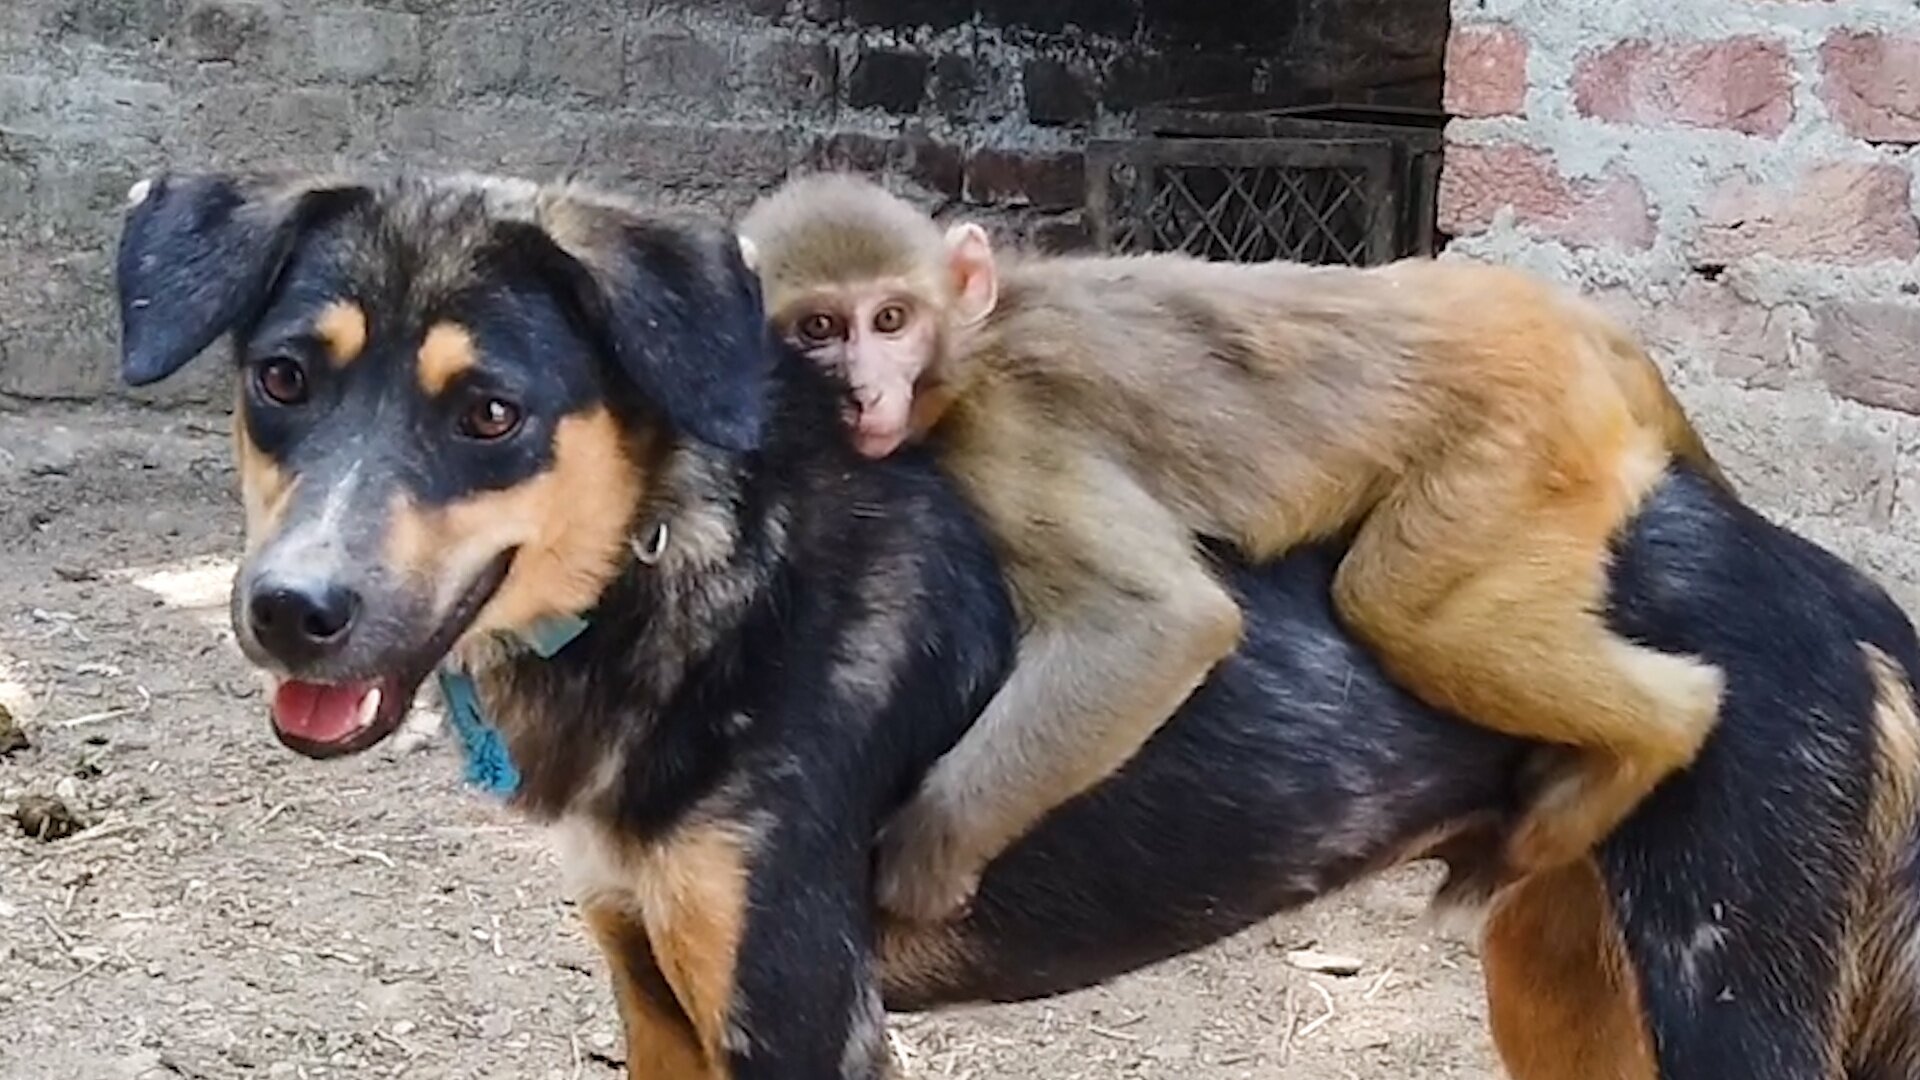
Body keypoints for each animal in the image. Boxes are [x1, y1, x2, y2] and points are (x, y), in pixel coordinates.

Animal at [737, 171, 1734, 924]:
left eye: (890, 320)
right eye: (819, 329)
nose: (865, 393)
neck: (968, 349)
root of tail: (1568, 317)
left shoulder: (1004, 431)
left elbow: (1159, 623)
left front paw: (932, 845)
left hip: (1522, 438)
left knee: (1409, 613)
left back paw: (1663, 731)